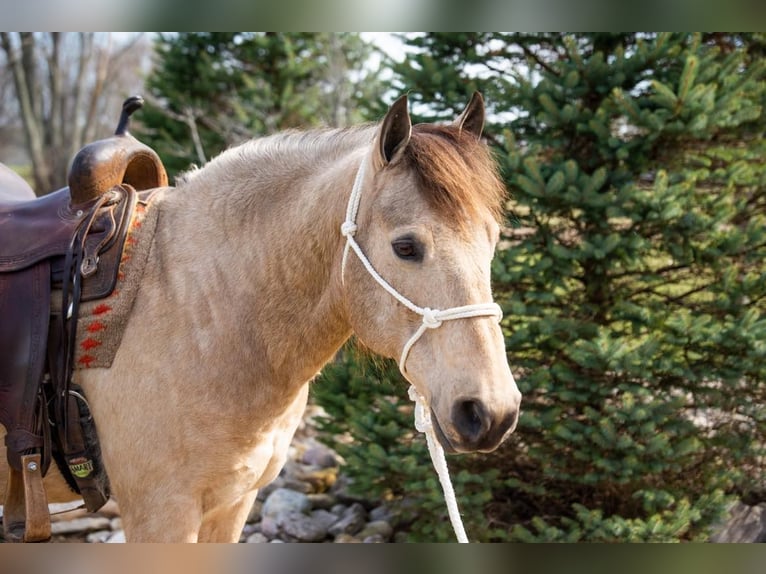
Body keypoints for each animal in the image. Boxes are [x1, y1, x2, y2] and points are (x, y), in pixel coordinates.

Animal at [0, 92, 520, 544]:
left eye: (494, 239)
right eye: (406, 247)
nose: (491, 412)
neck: (202, 308)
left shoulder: (232, 504)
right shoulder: (160, 512)